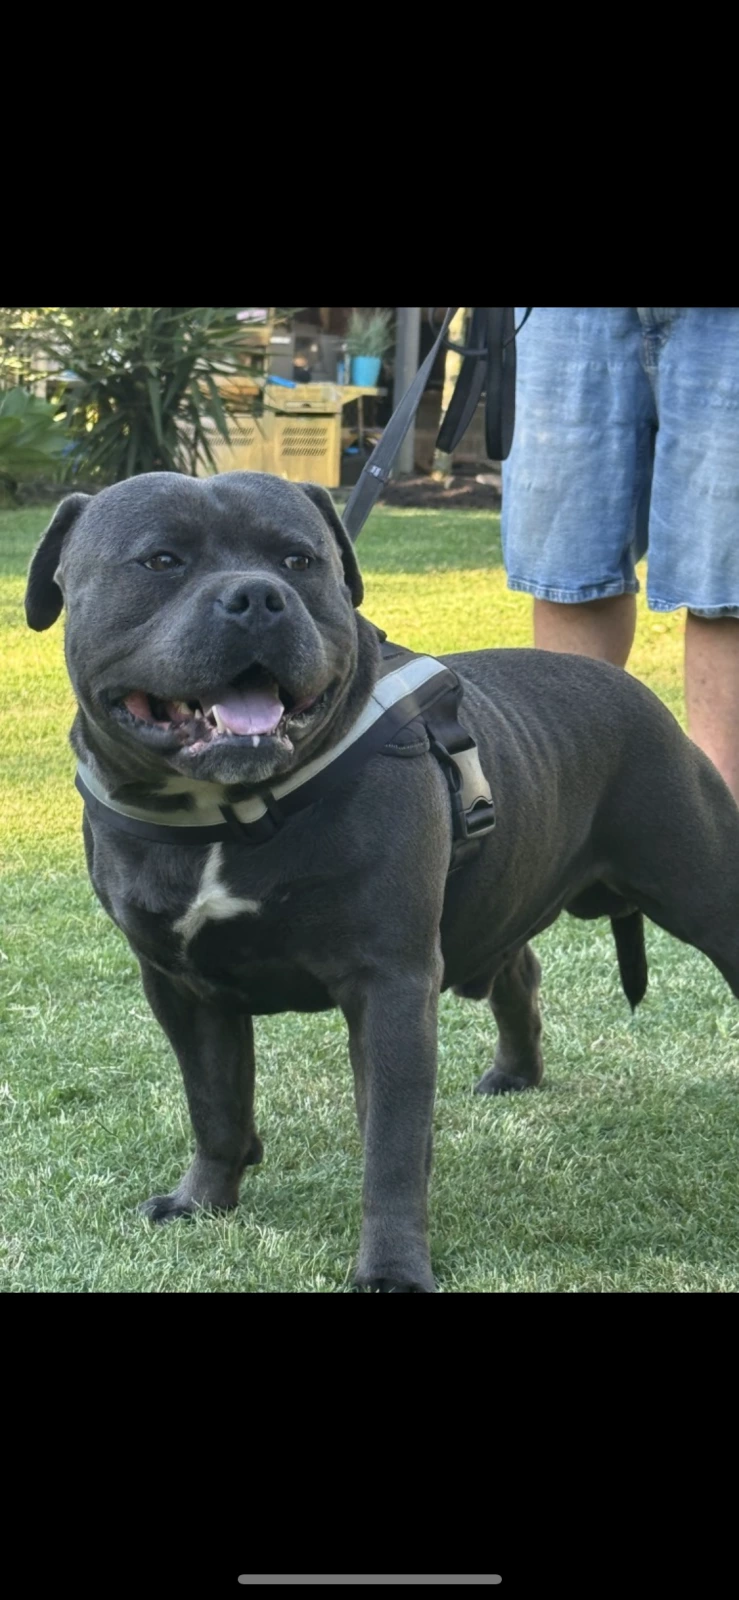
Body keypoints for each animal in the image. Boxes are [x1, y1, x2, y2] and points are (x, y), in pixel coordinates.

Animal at [25, 471, 739, 1291]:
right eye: (161, 561)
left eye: (299, 561)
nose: (257, 596)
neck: (228, 811)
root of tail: (633, 689)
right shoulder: (180, 986)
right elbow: (214, 1104)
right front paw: (202, 1201)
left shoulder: (389, 982)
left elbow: (391, 1147)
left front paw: (392, 1266)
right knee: (517, 971)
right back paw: (515, 1074)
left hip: (705, 890)